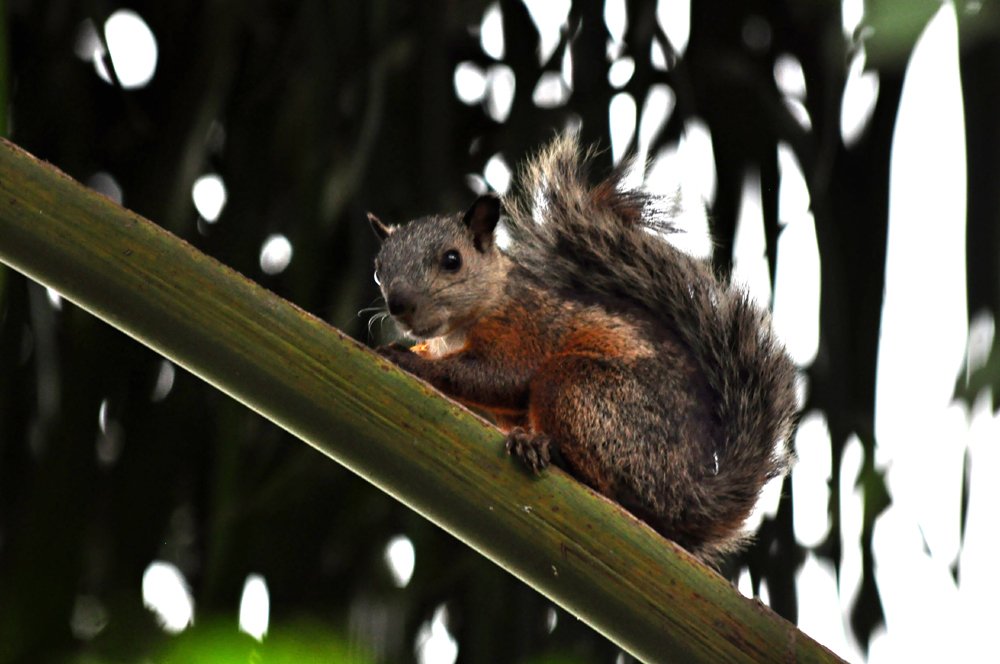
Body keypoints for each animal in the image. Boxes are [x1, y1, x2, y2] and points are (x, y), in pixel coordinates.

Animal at [367, 132, 798, 563]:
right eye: (378, 270)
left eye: (452, 260)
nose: (399, 304)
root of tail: (688, 495)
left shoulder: (525, 328)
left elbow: (498, 376)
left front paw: (407, 361)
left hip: (583, 390)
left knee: (610, 485)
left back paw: (544, 449)